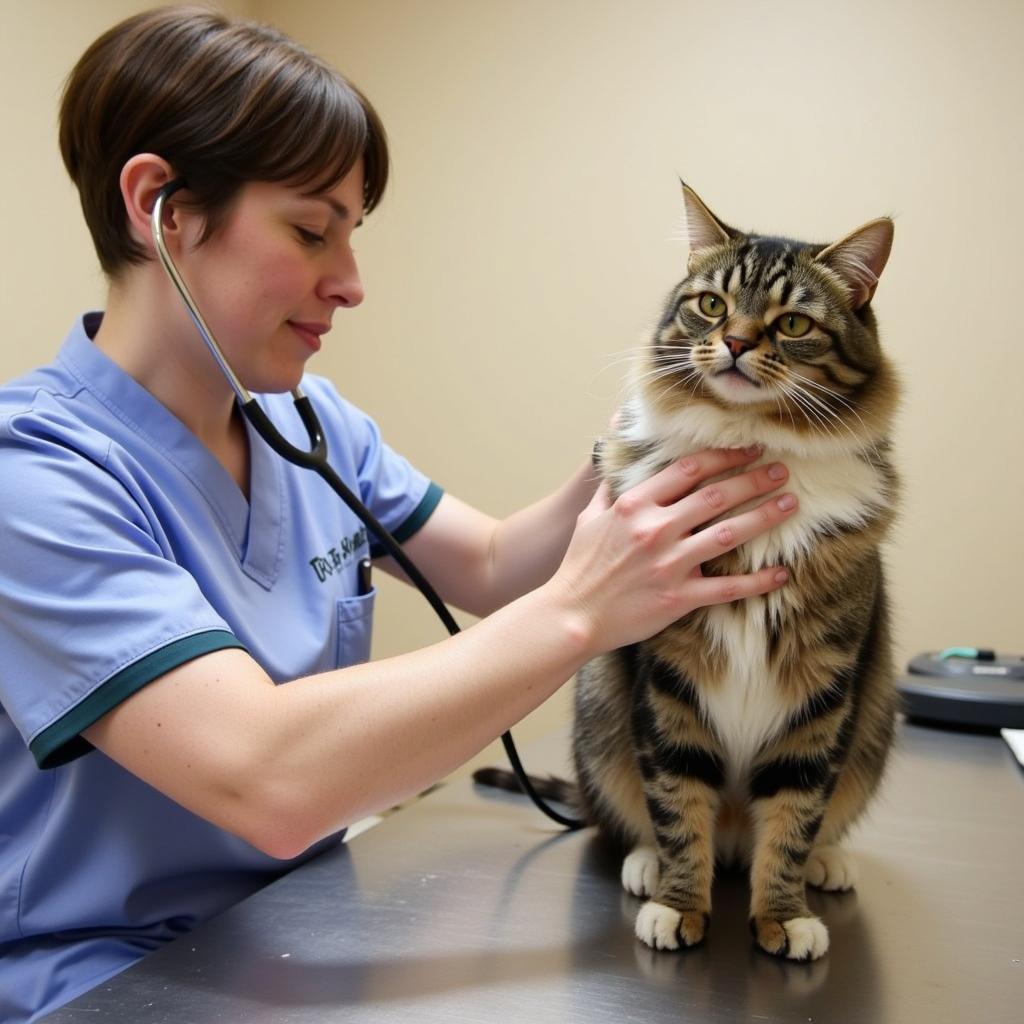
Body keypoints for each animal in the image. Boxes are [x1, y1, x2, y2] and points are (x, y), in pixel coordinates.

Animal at [483, 184, 901, 958]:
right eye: (711, 304)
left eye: (792, 322)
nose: (734, 342)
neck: (750, 449)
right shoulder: (668, 675)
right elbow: (677, 800)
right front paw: (680, 905)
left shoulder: (824, 689)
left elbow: (794, 815)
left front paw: (783, 915)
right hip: (601, 705)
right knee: (631, 818)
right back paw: (647, 865)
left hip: (875, 715)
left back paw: (826, 863)